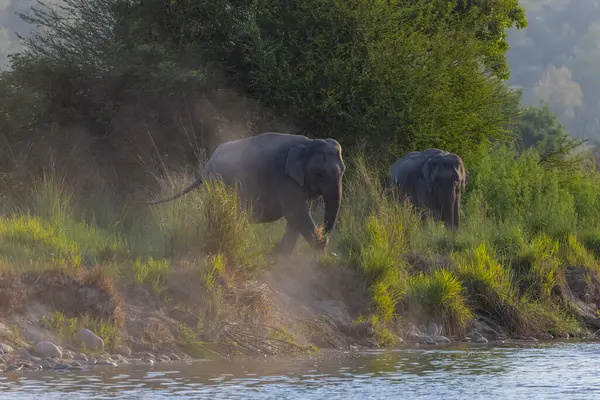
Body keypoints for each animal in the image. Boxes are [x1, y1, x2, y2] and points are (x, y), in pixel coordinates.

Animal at [145, 133, 346, 255]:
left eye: (343, 171)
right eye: (319, 173)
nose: (325, 238)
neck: (308, 143)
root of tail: (206, 167)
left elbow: (297, 217)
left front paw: (279, 256)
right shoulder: (285, 179)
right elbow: (297, 214)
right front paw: (318, 249)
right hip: (216, 183)